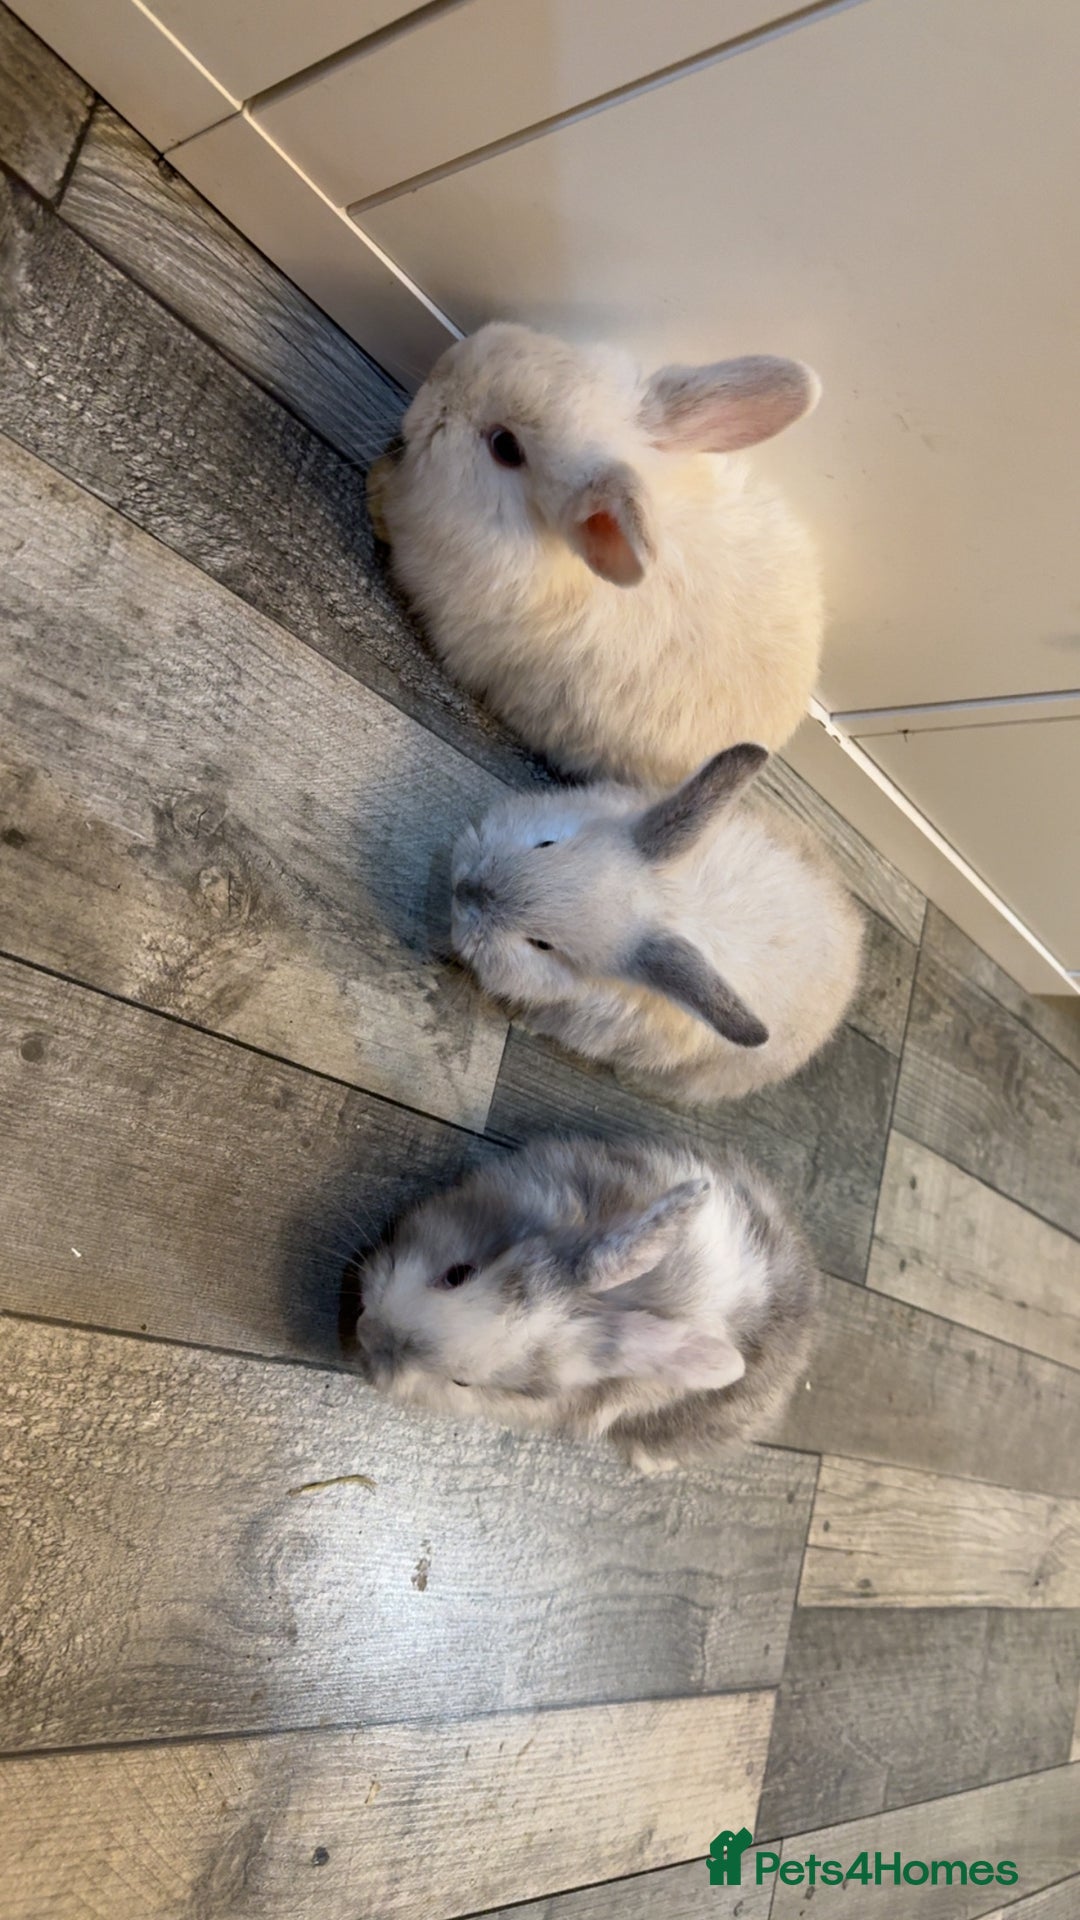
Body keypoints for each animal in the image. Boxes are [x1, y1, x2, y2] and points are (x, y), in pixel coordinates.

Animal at [449, 742, 864, 1103]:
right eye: (546, 844)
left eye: (542, 945)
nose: (465, 890)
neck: (666, 905)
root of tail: (853, 957)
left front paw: (521, 1021)